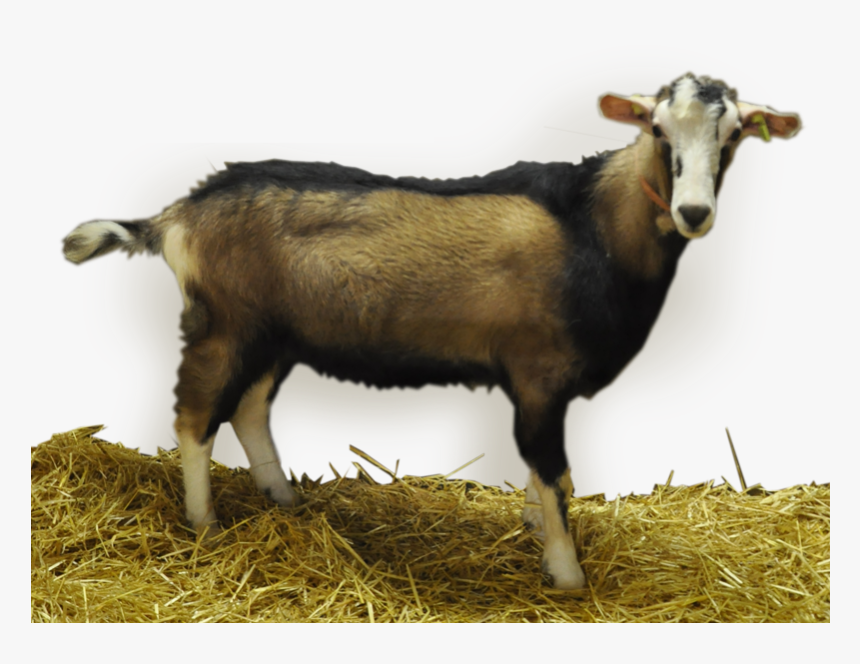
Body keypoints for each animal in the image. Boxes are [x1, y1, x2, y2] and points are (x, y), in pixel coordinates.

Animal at [62, 74, 800, 589]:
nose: (694, 211)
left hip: (275, 334)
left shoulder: (541, 383)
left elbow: (549, 474)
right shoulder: (538, 374)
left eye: (734, 135)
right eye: (657, 128)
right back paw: (204, 524)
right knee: (194, 416)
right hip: (225, 323)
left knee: (247, 410)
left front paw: (533, 529)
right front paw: (566, 575)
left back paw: (286, 501)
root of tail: (180, 213)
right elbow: (552, 470)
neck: (590, 228)